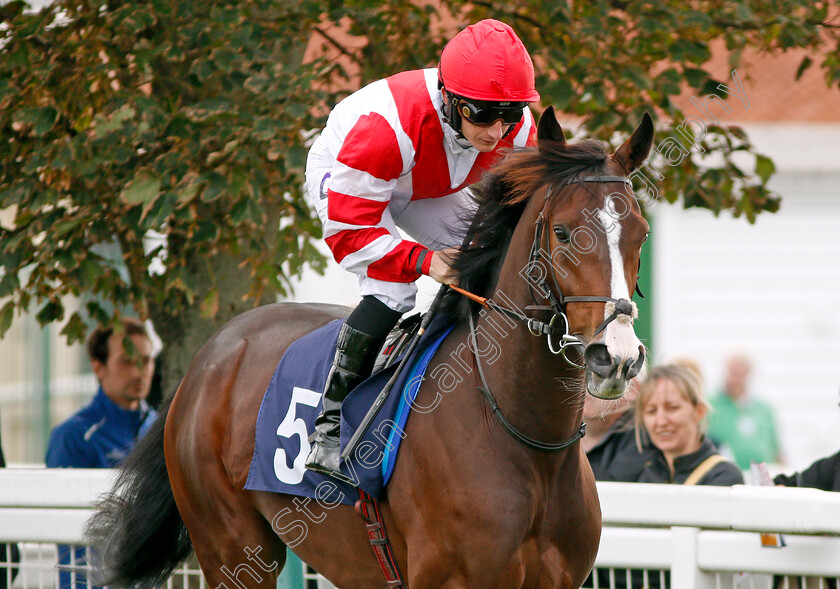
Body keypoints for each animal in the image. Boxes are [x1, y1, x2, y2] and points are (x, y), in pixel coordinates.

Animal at [88, 107, 660, 588]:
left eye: (641, 233)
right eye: (562, 233)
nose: (616, 356)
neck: (524, 437)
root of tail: (210, 357)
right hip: (232, 548)